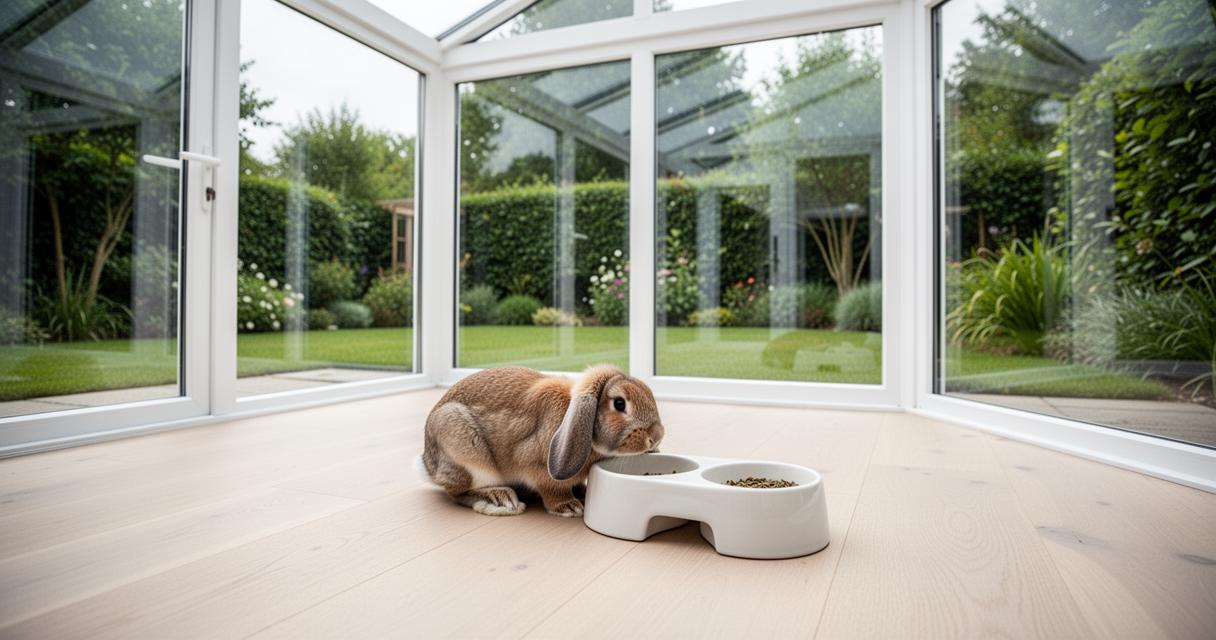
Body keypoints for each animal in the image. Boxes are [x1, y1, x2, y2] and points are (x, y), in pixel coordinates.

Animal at [421, 364, 664, 517]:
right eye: (619, 404)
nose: (657, 436)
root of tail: (428, 464)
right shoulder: (538, 469)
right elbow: (552, 489)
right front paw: (570, 508)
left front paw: (582, 493)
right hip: (469, 457)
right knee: (457, 492)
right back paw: (500, 498)